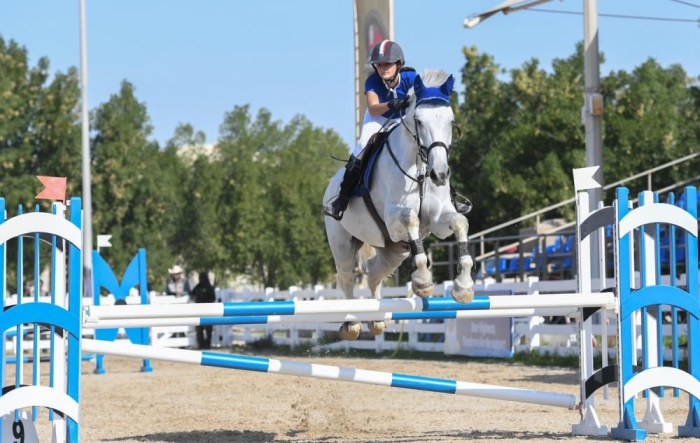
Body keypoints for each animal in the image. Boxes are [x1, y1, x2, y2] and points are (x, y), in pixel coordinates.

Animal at [322, 69, 476, 342]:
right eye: (419, 120)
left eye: (450, 120)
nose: (440, 174)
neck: (421, 167)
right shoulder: (394, 218)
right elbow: (411, 218)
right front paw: (423, 282)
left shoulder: (439, 219)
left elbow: (460, 222)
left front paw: (463, 287)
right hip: (343, 244)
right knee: (346, 277)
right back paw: (351, 324)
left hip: (395, 251)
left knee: (374, 273)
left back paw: (377, 321)